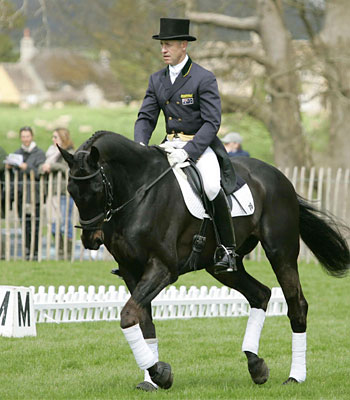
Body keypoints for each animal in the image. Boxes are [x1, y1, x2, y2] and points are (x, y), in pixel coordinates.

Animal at [58, 131, 348, 390]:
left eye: (97, 188)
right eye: (70, 190)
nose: (91, 239)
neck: (139, 192)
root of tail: (279, 176)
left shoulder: (163, 268)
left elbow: (129, 315)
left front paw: (160, 373)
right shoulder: (132, 271)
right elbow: (144, 321)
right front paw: (152, 379)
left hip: (281, 252)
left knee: (296, 305)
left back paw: (295, 376)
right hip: (221, 267)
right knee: (260, 294)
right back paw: (256, 366)